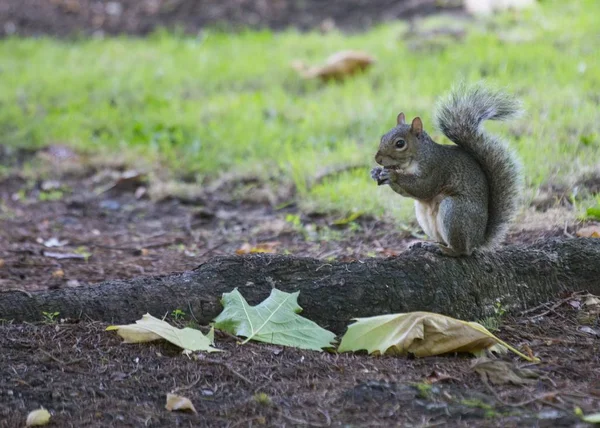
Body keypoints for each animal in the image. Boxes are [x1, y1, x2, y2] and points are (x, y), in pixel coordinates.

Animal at [372, 83, 524, 258]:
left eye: (400, 144)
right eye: (382, 137)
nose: (378, 159)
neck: (417, 157)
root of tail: (478, 240)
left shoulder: (436, 168)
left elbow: (423, 187)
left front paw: (393, 175)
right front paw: (376, 172)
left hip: (454, 212)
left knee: (461, 251)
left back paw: (446, 250)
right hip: (425, 217)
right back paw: (426, 243)